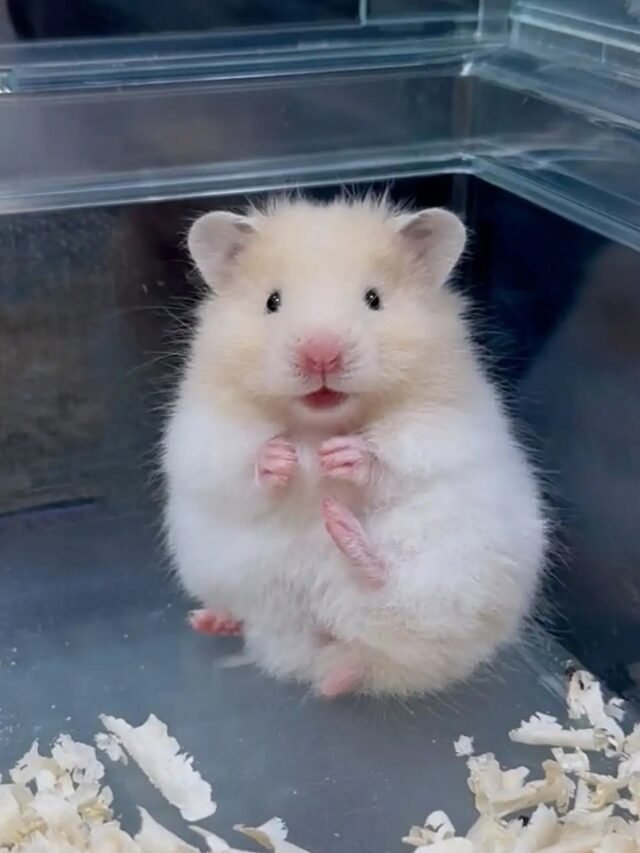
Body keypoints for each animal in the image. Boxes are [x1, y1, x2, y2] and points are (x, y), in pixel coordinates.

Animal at [163, 196, 547, 698]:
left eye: (374, 299)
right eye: (272, 302)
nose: (321, 354)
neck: (319, 423)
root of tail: (314, 655)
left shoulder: (439, 428)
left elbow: (396, 458)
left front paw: (339, 458)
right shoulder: (205, 434)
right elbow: (238, 464)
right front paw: (283, 457)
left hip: (453, 556)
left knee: (395, 594)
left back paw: (343, 534)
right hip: (216, 563)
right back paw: (214, 620)